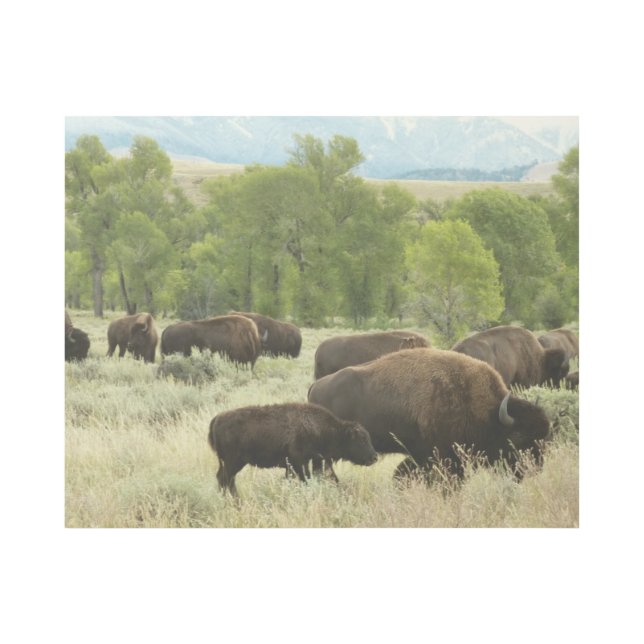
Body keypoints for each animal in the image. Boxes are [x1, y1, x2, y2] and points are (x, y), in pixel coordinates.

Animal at [208, 402, 378, 496]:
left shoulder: (297, 465)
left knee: (224, 479)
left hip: (230, 463)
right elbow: (305, 479)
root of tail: (217, 419)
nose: (374, 457)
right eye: (361, 439)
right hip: (233, 462)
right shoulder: (299, 463)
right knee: (225, 480)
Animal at [308, 347, 550, 481]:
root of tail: (315, 386)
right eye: (517, 437)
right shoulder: (442, 455)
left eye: (544, 437)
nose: (535, 469)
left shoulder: (423, 454)